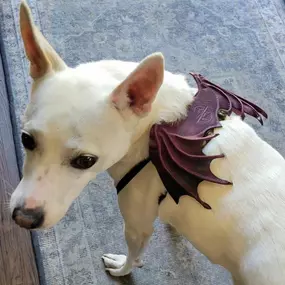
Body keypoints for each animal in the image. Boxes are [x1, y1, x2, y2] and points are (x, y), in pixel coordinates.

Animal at [10, 1, 284, 282]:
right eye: (25, 139)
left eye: (86, 161)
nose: (24, 218)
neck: (156, 123)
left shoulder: (136, 226)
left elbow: (133, 257)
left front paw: (122, 268)